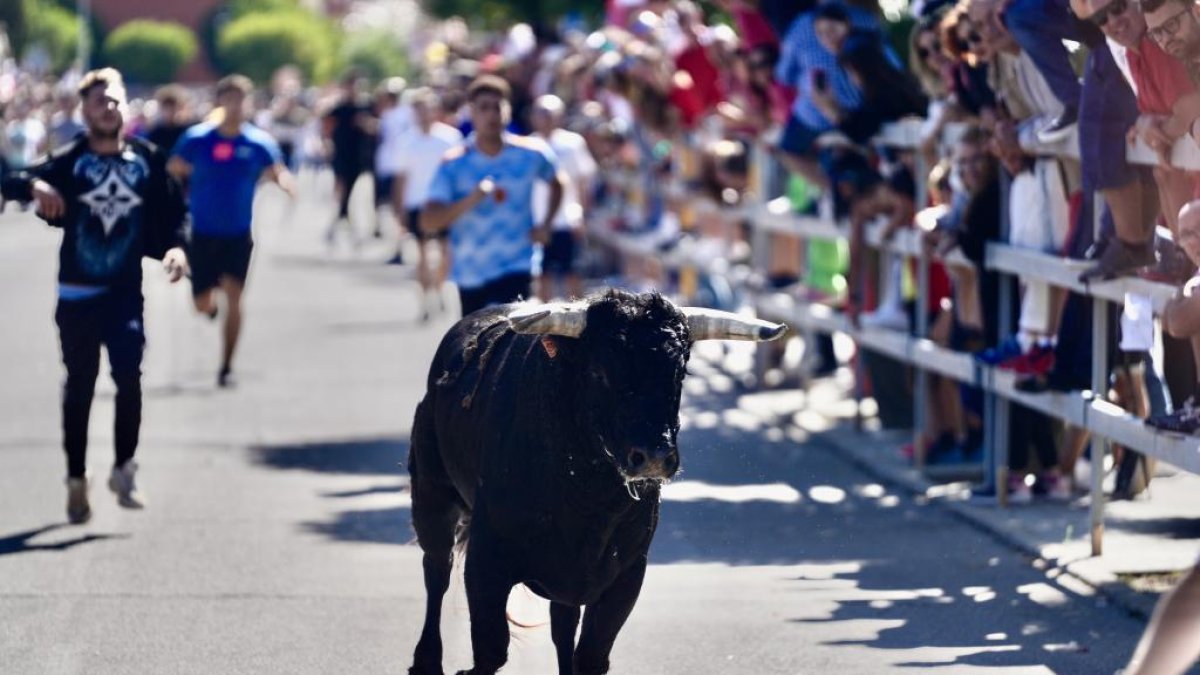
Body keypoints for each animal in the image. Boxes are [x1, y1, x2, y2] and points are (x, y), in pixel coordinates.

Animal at [408, 290, 782, 672]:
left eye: (679, 372)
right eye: (600, 371)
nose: (654, 457)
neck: (586, 499)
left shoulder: (626, 574)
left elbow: (589, 653)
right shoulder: (487, 563)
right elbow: (491, 649)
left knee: (562, 625)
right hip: (431, 496)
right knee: (436, 569)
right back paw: (425, 659)